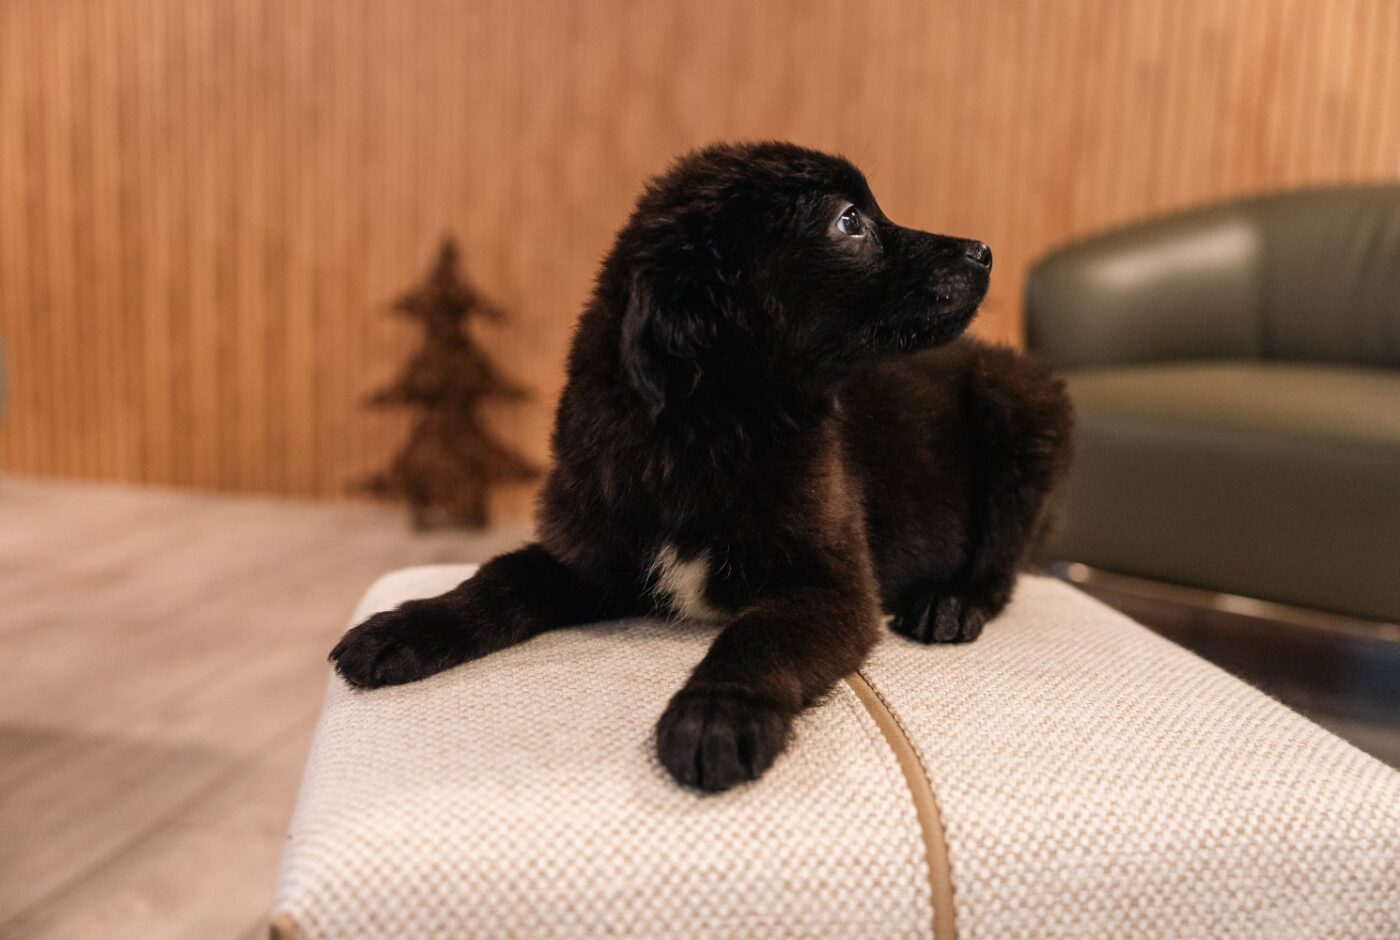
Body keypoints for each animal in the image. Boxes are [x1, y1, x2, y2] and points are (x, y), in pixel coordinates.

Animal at [330, 141, 1069, 795]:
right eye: (849, 221)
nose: (984, 250)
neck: (703, 434)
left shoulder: (833, 585)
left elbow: (758, 636)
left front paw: (716, 715)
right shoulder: (588, 553)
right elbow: (497, 580)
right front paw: (401, 628)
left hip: (1020, 406)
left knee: (1003, 566)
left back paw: (952, 603)